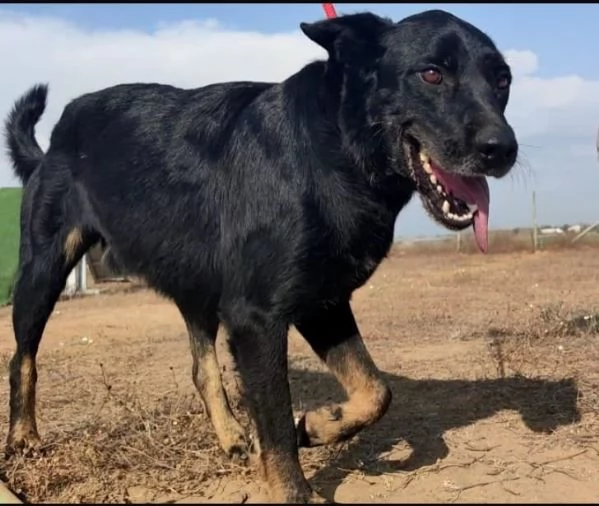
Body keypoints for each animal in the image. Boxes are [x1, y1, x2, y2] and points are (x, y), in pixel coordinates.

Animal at [4, 7, 516, 502]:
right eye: (431, 74)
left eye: (503, 80)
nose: (502, 150)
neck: (335, 150)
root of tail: (53, 140)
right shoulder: (257, 317)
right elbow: (276, 425)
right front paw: (294, 490)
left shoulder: (323, 303)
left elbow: (376, 390)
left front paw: (320, 425)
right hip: (43, 271)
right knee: (22, 359)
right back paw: (23, 438)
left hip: (196, 285)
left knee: (203, 370)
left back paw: (233, 437)